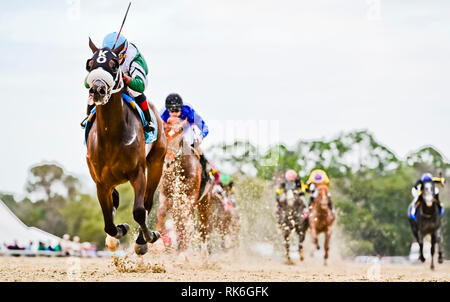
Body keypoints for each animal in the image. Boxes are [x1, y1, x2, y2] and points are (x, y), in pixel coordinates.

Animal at [85, 37, 166, 255]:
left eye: (114, 64)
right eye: (90, 64)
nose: (97, 90)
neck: (111, 136)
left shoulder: (138, 172)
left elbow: (139, 211)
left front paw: (147, 238)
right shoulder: (100, 183)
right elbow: (108, 223)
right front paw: (120, 230)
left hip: (156, 163)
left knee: (147, 202)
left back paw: (143, 239)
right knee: (116, 201)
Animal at [156, 117, 214, 256]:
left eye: (180, 136)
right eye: (164, 135)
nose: (167, 160)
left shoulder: (190, 198)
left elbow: (184, 224)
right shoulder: (166, 195)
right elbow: (161, 213)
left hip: (204, 203)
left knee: (202, 228)